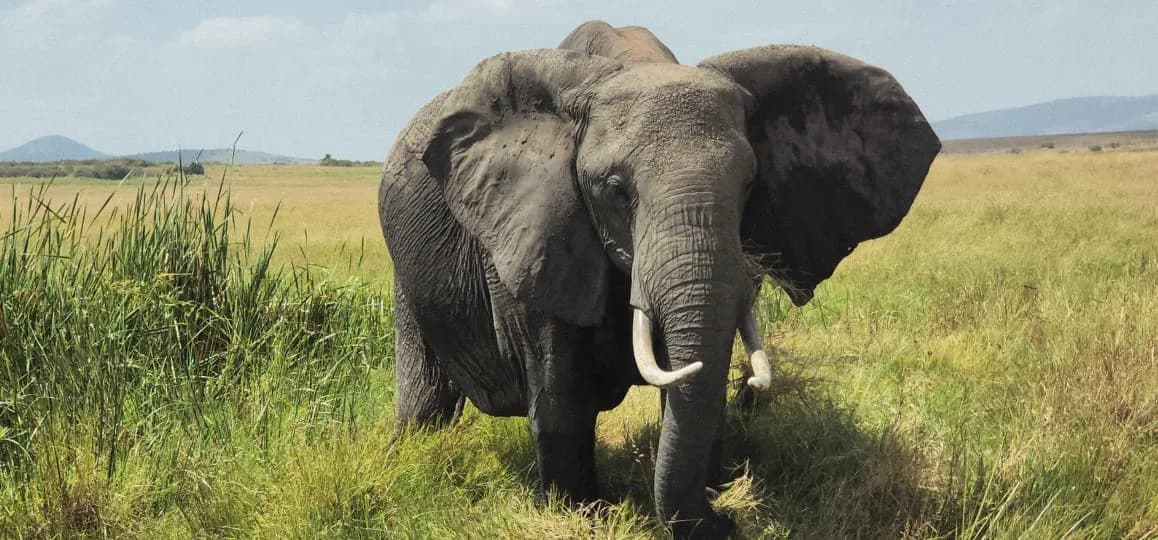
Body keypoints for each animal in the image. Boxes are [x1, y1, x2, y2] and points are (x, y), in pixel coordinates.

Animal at [378, 20, 940, 538]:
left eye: (750, 186)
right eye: (615, 190)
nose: (730, 517)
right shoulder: (531, 233)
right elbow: (560, 395)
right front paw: (582, 514)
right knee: (425, 396)